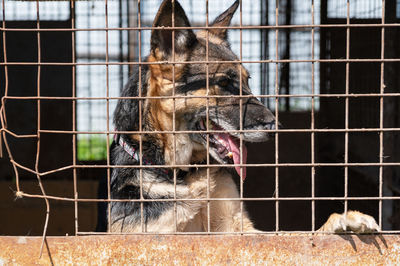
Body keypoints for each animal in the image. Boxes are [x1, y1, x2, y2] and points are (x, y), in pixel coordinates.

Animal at [108, 0, 380, 233]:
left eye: (247, 80)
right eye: (223, 82)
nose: (276, 127)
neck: (183, 175)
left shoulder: (239, 230)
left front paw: (339, 222)